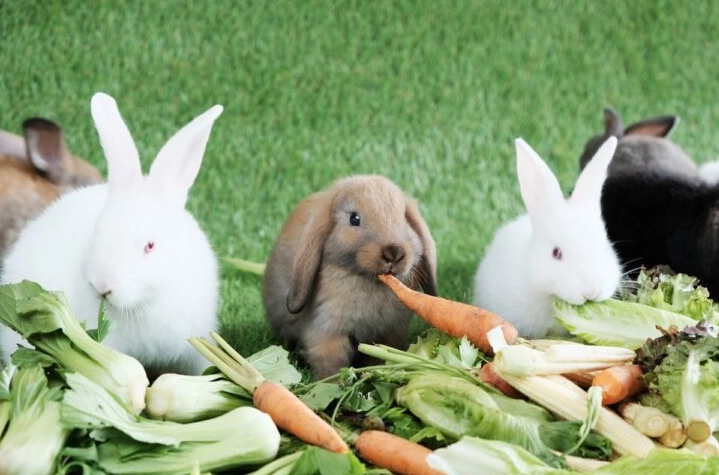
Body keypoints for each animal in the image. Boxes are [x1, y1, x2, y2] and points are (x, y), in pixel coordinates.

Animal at [262, 174, 438, 380]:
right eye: (354, 219)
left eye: (404, 218)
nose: (393, 253)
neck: (370, 281)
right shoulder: (327, 331)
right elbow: (331, 363)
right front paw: (333, 384)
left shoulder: (389, 333)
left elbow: (380, 357)